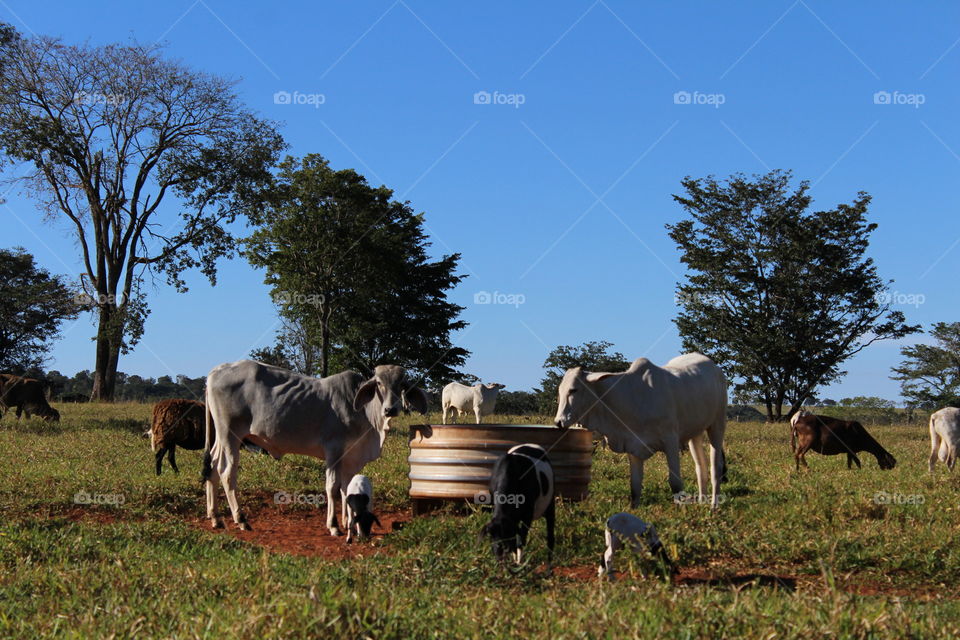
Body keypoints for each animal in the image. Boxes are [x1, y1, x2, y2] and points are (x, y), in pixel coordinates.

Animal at [202, 361, 428, 535]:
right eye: (379, 383)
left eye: (401, 386)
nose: (390, 409)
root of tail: (216, 371)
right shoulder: (334, 450)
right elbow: (333, 486)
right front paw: (334, 525)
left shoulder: (350, 456)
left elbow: (347, 488)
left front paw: (348, 522)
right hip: (230, 436)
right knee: (227, 473)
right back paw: (241, 519)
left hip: (221, 439)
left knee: (212, 468)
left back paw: (216, 518)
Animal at [554, 353, 727, 508]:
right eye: (560, 391)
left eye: (573, 390)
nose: (558, 422)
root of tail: (715, 367)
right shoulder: (633, 445)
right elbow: (635, 486)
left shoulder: (671, 441)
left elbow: (675, 483)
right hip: (695, 433)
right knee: (700, 467)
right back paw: (701, 502)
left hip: (717, 424)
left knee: (715, 468)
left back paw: (713, 506)